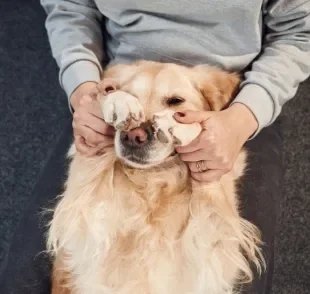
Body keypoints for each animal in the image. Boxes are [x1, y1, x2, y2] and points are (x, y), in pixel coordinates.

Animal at [48, 60, 264, 294]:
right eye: (132, 95)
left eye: (175, 101)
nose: (133, 136)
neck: (153, 180)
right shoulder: (83, 215)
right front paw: (117, 101)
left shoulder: (212, 246)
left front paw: (178, 126)